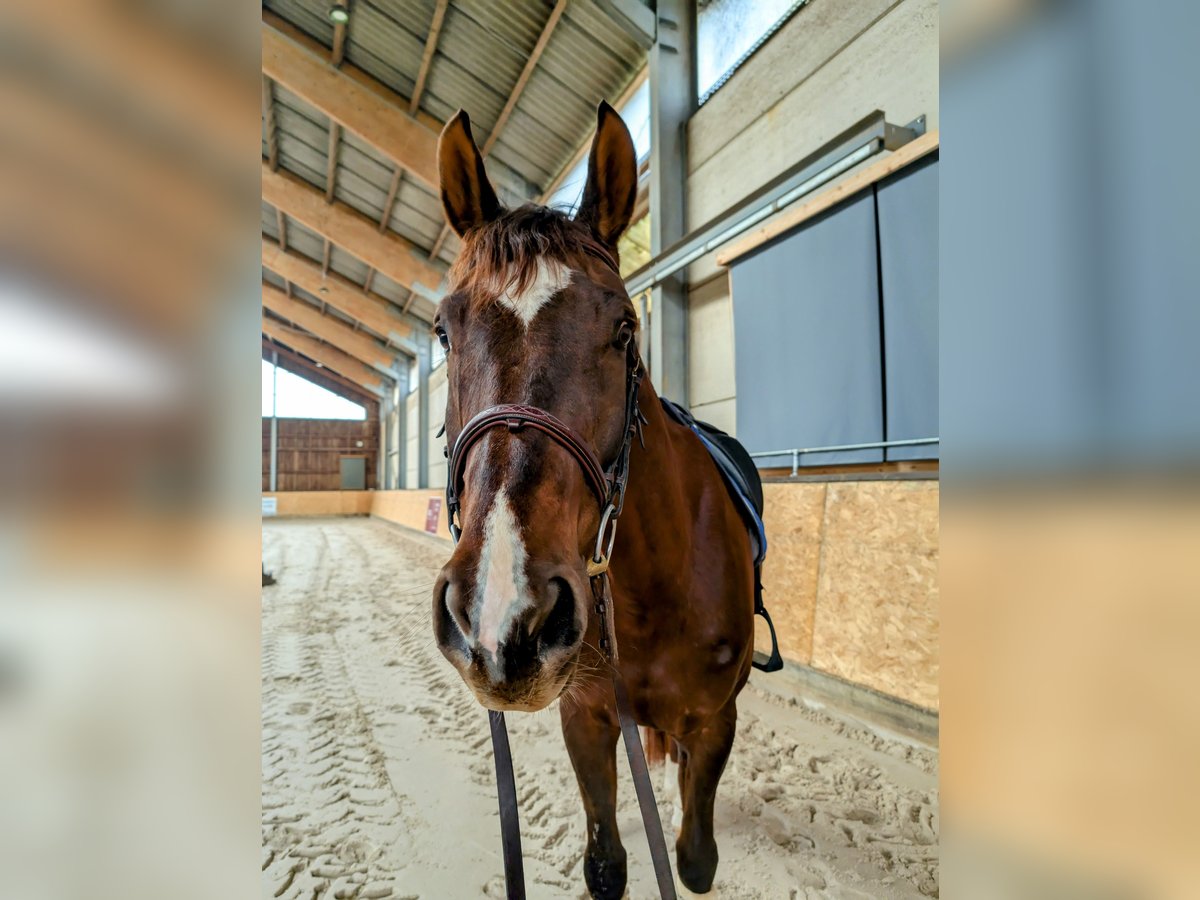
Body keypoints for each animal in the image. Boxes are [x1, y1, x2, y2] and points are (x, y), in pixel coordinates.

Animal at [429, 102, 748, 897]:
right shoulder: (587, 716)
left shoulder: (715, 724)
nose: (502, 620)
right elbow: (606, 864)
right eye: (444, 331)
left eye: (624, 327)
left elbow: (693, 862)